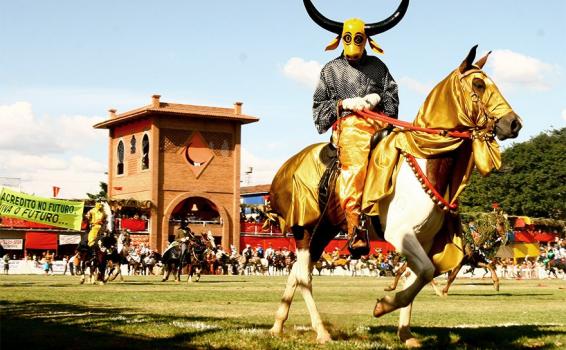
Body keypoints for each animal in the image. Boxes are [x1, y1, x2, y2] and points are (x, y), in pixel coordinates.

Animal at [270, 45, 524, 344]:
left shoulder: (423, 239)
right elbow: (425, 271)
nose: (514, 123)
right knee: (304, 277)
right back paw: (321, 331)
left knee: (297, 273)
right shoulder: (399, 233)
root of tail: (285, 169)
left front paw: (405, 332)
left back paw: (278, 325)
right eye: (478, 84)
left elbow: (418, 275)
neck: (426, 159)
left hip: (324, 230)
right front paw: (384, 306)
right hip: (304, 229)